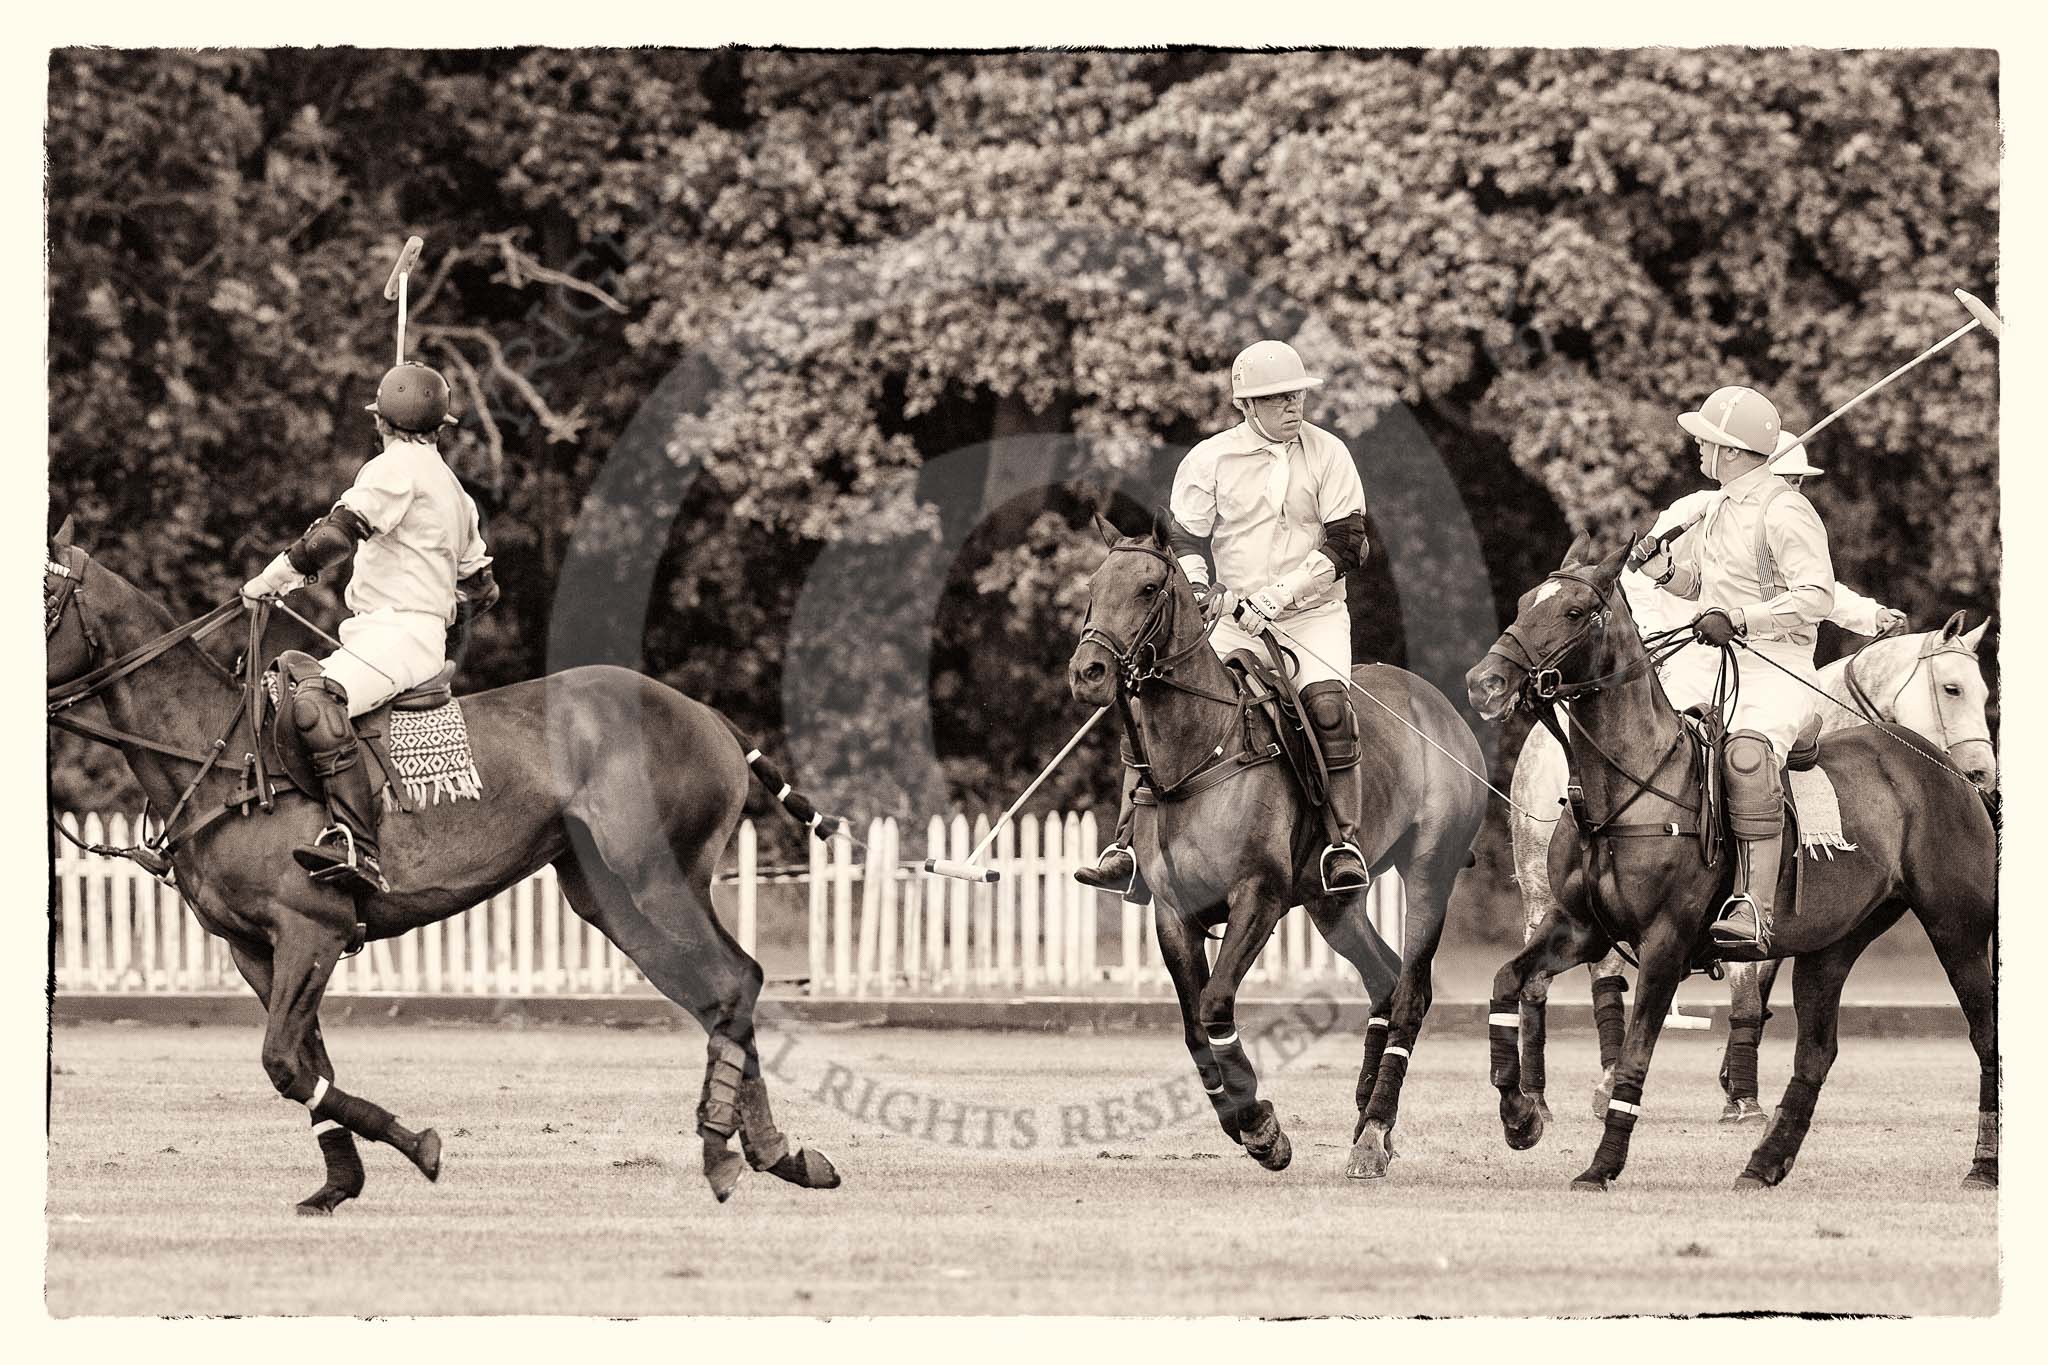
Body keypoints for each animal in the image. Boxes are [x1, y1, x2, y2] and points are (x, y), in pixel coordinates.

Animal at [48, 527, 847, 1211]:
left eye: (45, 594)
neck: (220, 758)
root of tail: (710, 716)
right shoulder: (256, 948)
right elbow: (310, 1063)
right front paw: (344, 1181)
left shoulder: (314, 927)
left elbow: (285, 1064)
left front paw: (417, 1147)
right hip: (612, 899)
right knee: (721, 992)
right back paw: (781, 1154)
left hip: (655, 879)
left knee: (734, 979)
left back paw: (724, 1151)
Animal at [1064, 517, 1482, 1178]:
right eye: (1093, 585)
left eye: (1149, 587)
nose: (1089, 673)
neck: (1199, 753)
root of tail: (1444, 709)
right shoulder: (1172, 912)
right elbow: (1192, 1023)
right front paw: (1241, 1118)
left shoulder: (1258, 896)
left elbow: (1214, 1004)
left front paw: (1261, 1129)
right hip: (1332, 904)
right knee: (1385, 980)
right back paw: (1369, 1124)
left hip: (1429, 872)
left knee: (1412, 992)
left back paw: (1373, 1133)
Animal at [1466, 540, 1990, 1186]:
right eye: (1522, 604)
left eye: (1574, 611)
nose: (1485, 683)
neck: (1632, 785)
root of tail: (1942, 766)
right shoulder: (1579, 926)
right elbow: (1507, 981)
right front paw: (1519, 1116)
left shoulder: (1667, 941)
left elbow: (1644, 1052)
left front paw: (1604, 1164)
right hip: (1833, 943)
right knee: (1817, 1051)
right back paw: (1762, 1164)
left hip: (1957, 927)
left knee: (1983, 1034)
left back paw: (1983, 1165)